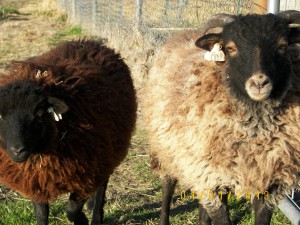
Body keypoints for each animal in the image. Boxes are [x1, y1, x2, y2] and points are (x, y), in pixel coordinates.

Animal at [0, 39, 136, 224]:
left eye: (40, 113)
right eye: (0, 115)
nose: (17, 150)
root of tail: (92, 42)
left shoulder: (86, 176)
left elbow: (71, 211)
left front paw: (83, 220)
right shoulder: (36, 180)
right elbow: (41, 214)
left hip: (109, 150)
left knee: (102, 185)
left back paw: (96, 216)